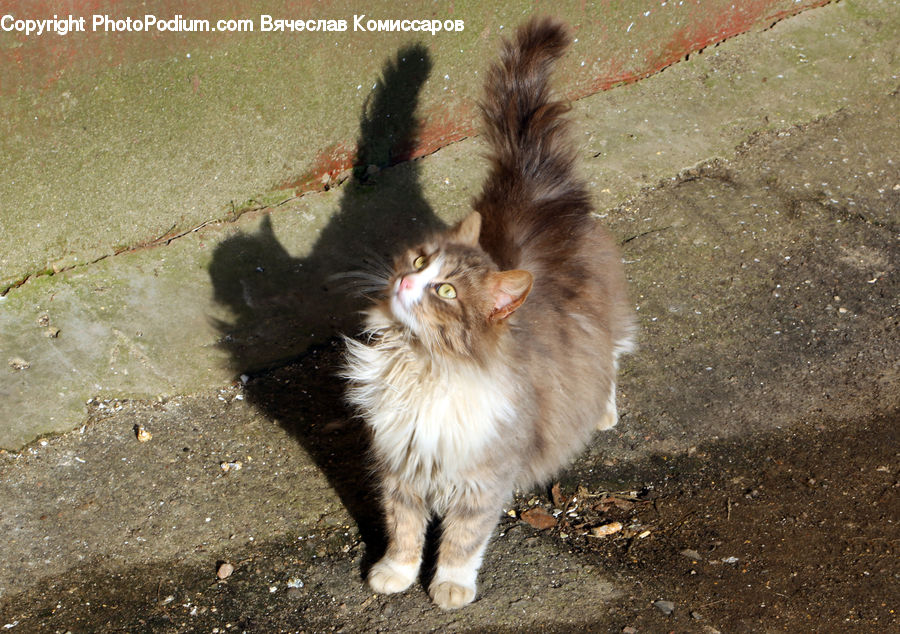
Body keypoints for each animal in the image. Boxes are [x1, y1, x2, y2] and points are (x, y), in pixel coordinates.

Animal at [342, 16, 632, 608]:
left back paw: (603, 412)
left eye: (446, 291)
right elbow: (403, 530)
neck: (423, 367)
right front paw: (395, 574)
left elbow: (462, 539)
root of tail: (532, 189)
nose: (406, 280)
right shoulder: (400, 468)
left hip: (607, 319)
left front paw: (450, 587)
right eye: (420, 260)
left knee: (612, 358)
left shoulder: (483, 478)